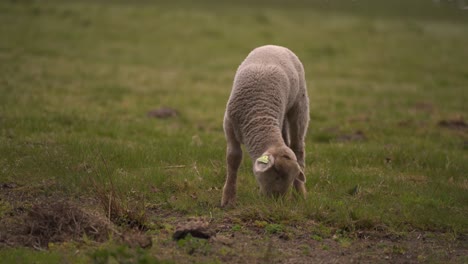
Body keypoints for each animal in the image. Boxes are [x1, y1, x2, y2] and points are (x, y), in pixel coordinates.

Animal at [221, 44, 308, 207]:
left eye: (291, 178)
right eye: (277, 174)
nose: (276, 200)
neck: (259, 115)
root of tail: (275, 46)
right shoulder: (229, 125)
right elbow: (233, 159)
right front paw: (228, 199)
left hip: (299, 103)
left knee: (297, 148)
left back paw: (301, 194)